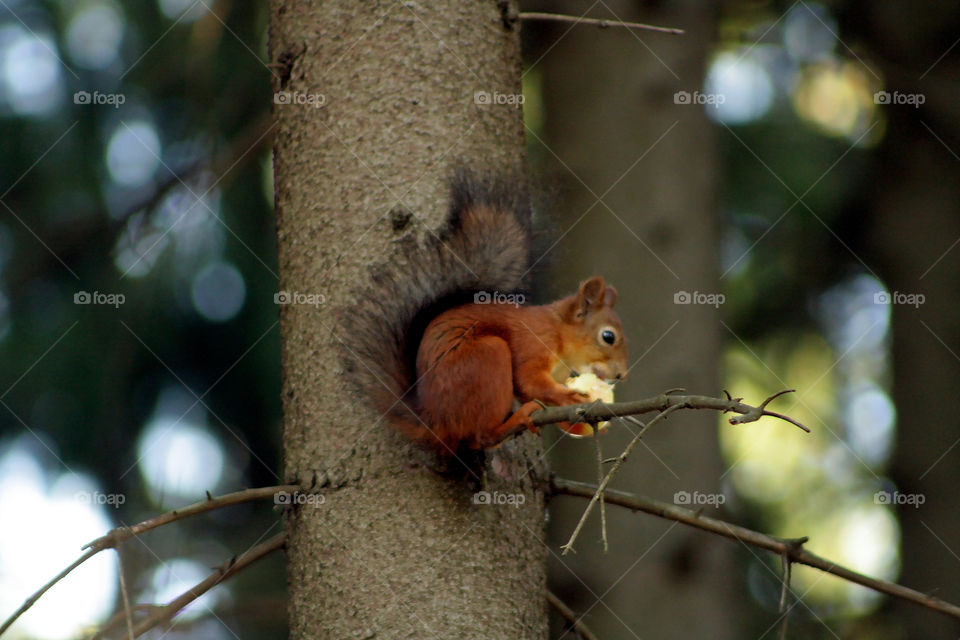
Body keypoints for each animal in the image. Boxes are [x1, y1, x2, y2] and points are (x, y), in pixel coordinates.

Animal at [343, 170, 628, 454]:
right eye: (608, 336)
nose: (621, 375)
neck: (558, 333)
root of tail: (435, 422)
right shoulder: (533, 344)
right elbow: (528, 381)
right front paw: (569, 396)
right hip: (487, 359)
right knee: (482, 436)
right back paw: (517, 418)